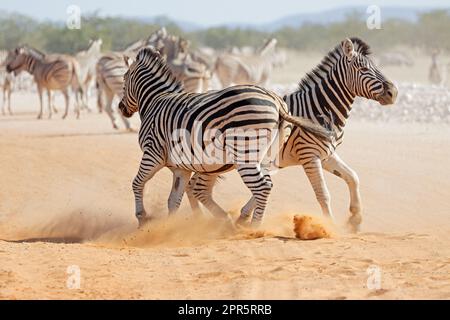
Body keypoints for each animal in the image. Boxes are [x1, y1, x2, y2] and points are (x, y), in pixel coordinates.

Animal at [118, 47, 330, 228]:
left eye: (124, 78)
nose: (121, 108)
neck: (155, 100)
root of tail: (277, 101)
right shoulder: (181, 168)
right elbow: (173, 201)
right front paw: (168, 228)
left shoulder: (152, 153)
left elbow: (137, 183)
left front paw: (142, 219)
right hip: (265, 155)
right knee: (267, 183)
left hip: (245, 154)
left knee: (262, 186)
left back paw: (255, 228)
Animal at [183, 38, 398, 231]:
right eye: (363, 70)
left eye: (377, 67)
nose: (393, 93)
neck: (320, 110)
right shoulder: (309, 155)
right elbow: (323, 193)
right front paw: (330, 226)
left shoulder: (326, 155)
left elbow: (353, 177)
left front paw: (356, 219)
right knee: (195, 187)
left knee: (192, 186)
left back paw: (200, 221)